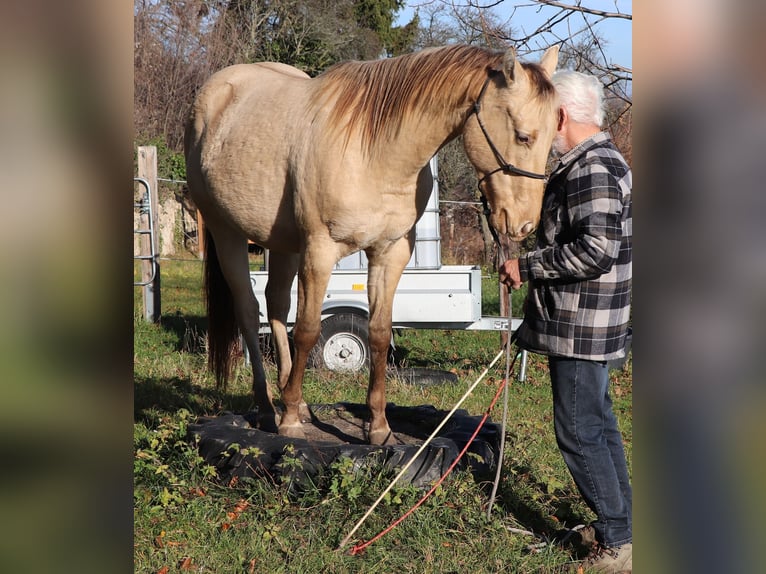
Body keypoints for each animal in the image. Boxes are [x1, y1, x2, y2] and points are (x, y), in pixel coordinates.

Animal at [184, 44, 560, 445]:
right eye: (523, 136)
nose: (523, 224)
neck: (375, 151)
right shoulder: (319, 251)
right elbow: (308, 330)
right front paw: (291, 423)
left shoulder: (389, 253)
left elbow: (379, 334)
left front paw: (378, 427)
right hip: (227, 232)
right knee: (249, 311)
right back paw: (271, 406)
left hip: (283, 244)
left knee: (276, 306)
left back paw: (290, 398)